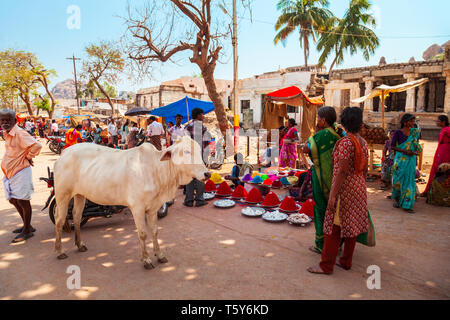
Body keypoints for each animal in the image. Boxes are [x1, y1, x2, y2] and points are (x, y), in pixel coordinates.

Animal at [52, 136, 209, 268]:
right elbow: (143, 234)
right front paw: (146, 259)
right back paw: (59, 251)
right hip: (62, 194)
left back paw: (80, 244)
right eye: (186, 151)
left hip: (80, 195)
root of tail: (64, 153)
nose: (207, 173)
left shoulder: (153, 208)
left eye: (198, 150)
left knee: (77, 216)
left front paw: (159, 255)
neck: (156, 170)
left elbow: (155, 231)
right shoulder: (137, 207)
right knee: (59, 219)